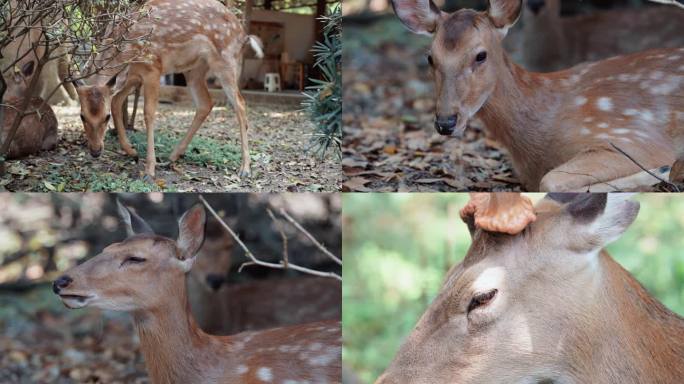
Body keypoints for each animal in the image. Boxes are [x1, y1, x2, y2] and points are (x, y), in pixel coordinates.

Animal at [74, 0, 262, 179]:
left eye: (106, 117)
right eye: (82, 116)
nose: (95, 151)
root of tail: (244, 35)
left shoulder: (153, 68)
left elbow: (148, 113)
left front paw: (149, 170)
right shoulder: (132, 77)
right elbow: (116, 102)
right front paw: (132, 152)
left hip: (226, 61)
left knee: (240, 103)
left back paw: (245, 169)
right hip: (194, 70)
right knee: (205, 103)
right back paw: (172, 157)